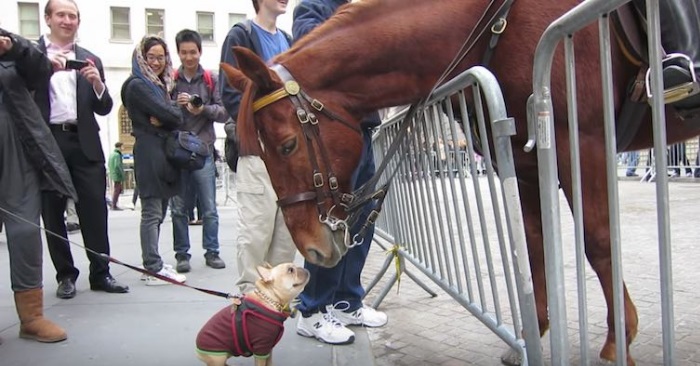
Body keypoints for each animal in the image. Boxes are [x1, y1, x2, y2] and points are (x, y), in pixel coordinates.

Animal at [221, 0, 700, 364]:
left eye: (286, 145)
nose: (312, 249)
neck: (496, 26)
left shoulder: (584, 140)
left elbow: (599, 240)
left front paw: (618, 341)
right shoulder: (524, 158)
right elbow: (532, 243)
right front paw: (536, 330)